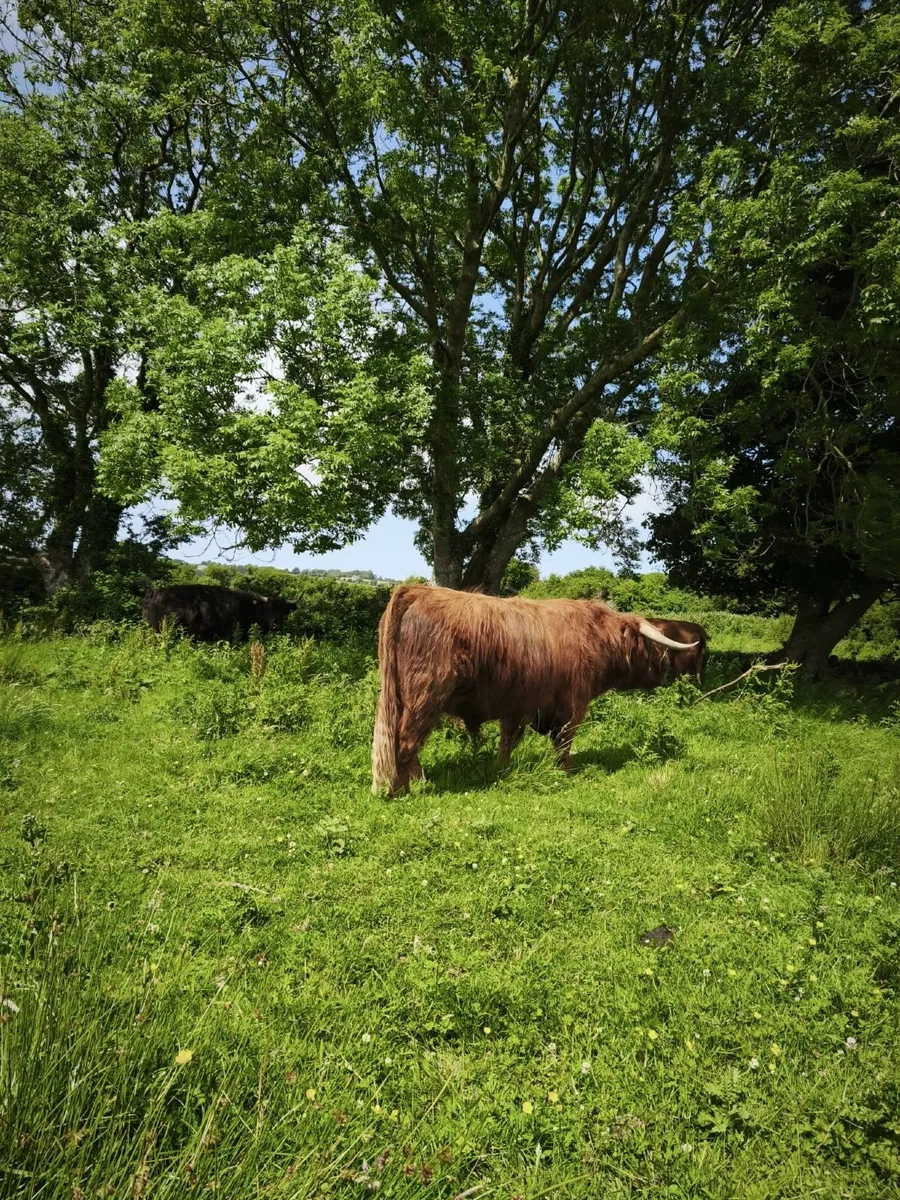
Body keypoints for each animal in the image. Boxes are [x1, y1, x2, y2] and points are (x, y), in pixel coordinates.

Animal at [371, 584, 697, 795]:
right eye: (652, 646)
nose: (666, 668)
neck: (597, 638)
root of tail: (417, 591)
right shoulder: (573, 703)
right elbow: (564, 741)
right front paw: (567, 773)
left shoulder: (519, 706)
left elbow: (508, 742)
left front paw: (501, 768)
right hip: (426, 693)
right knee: (406, 741)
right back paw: (405, 789)